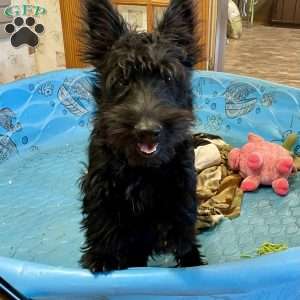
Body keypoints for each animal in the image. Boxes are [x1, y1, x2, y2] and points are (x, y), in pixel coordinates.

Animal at [79, 0, 206, 272]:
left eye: (167, 77)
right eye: (122, 80)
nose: (147, 130)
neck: (144, 168)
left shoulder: (182, 182)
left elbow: (184, 221)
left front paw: (189, 256)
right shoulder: (100, 183)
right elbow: (101, 219)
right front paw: (101, 256)